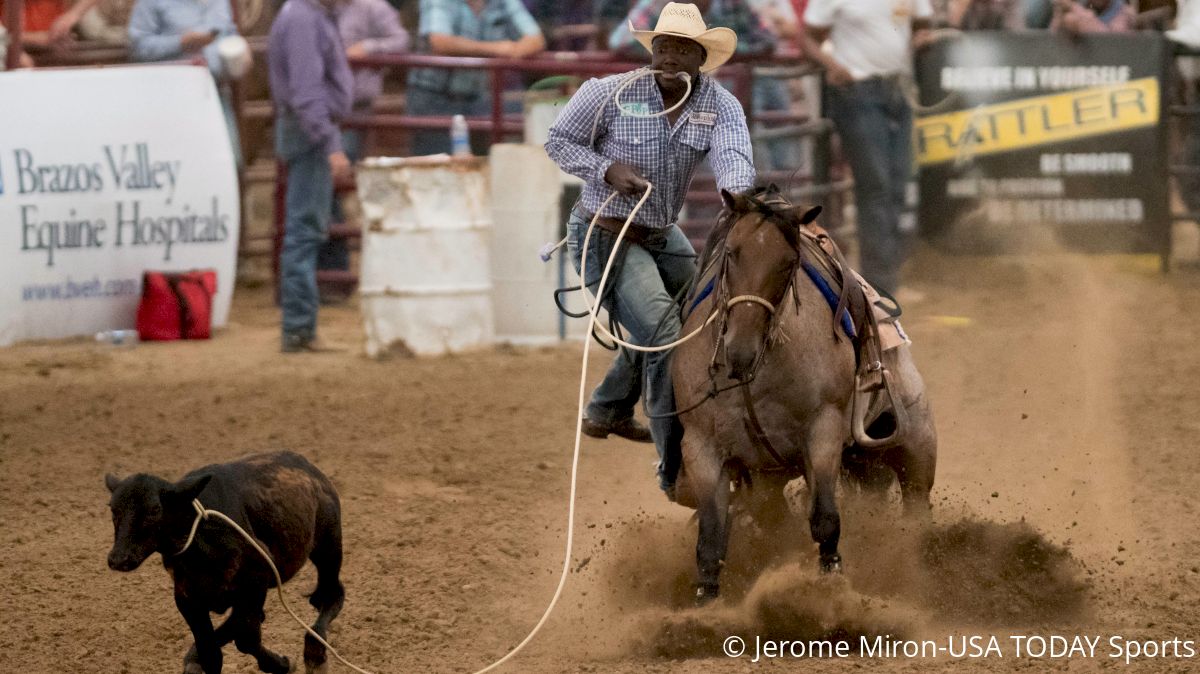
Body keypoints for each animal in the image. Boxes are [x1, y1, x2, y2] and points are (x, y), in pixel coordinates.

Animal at [672, 185, 931, 599]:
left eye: (788, 262)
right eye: (731, 253)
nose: (739, 349)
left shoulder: (822, 430)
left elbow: (825, 518)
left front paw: (831, 588)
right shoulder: (701, 446)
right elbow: (710, 540)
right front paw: (704, 605)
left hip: (916, 442)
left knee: (917, 508)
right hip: (774, 477)